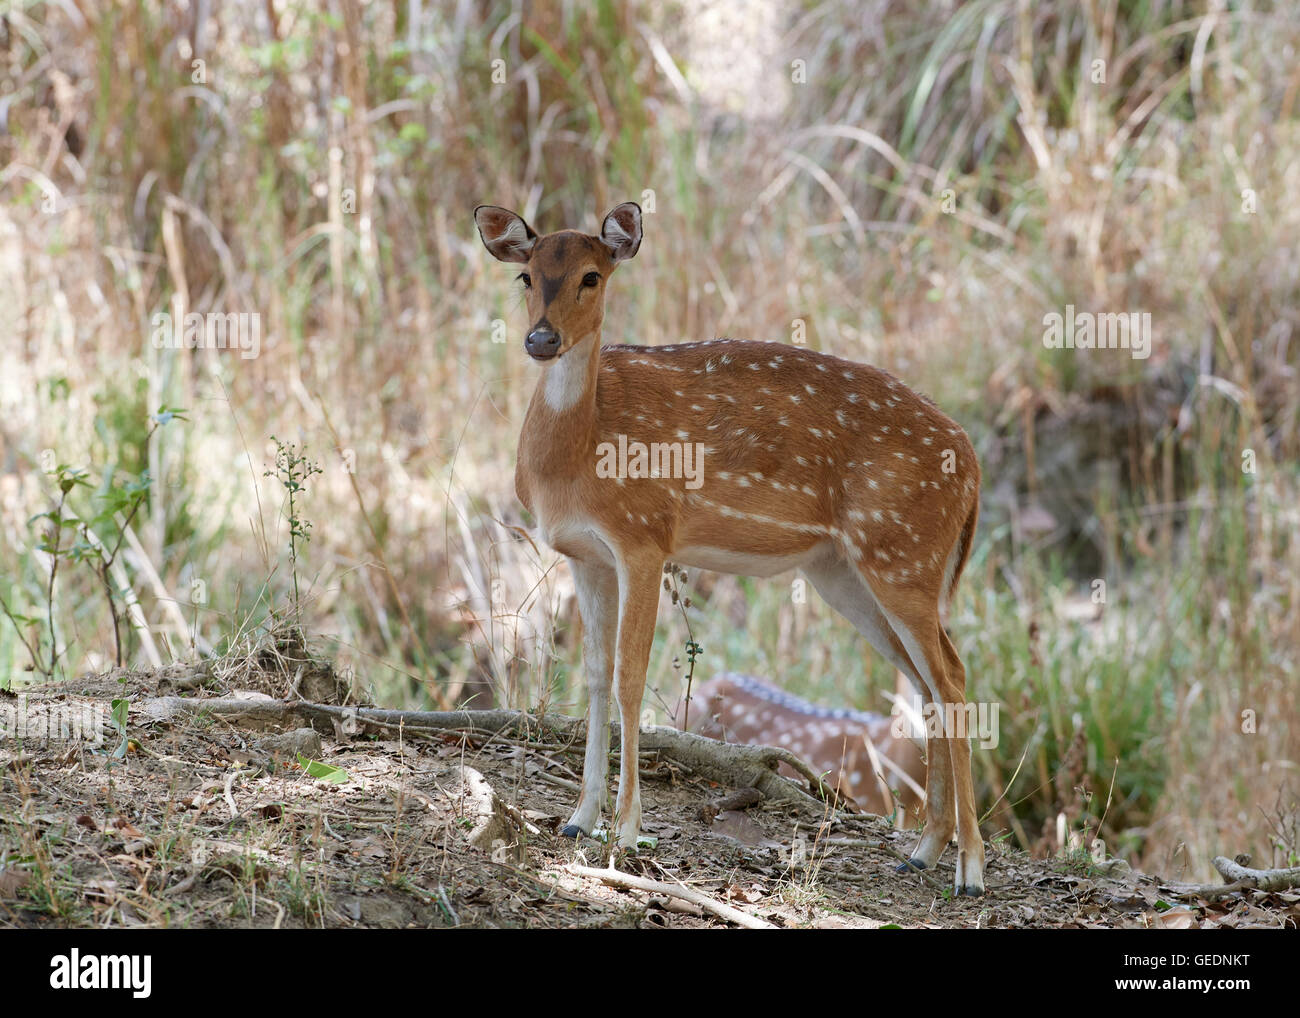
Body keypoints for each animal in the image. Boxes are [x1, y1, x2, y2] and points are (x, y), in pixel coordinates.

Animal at [473, 201, 987, 895]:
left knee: (952, 676)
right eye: (526, 276)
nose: (542, 340)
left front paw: (626, 833)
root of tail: (973, 465)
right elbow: (594, 676)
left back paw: (971, 869)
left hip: (904, 554)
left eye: (591, 276)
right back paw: (924, 850)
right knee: (928, 679)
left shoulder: (644, 536)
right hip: (848, 572)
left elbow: (631, 679)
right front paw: (579, 820)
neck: (581, 453)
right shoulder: (585, 555)